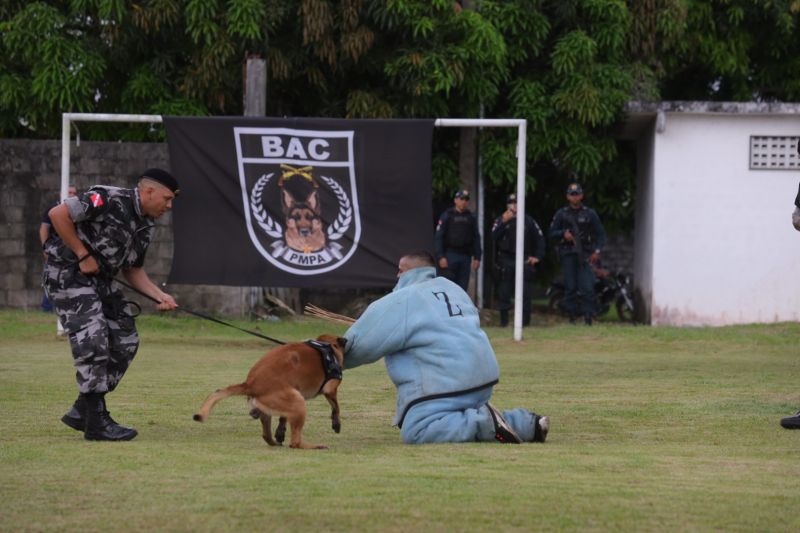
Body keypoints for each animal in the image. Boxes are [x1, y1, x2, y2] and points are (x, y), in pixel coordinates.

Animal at [195, 334, 346, 446]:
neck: (326, 345)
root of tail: (250, 384)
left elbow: (283, 418)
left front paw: (280, 432)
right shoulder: (330, 390)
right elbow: (336, 408)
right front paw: (336, 424)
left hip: (278, 405)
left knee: (266, 435)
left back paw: (276, 442)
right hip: (298, 401)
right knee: (295, 443)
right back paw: (315, 446)